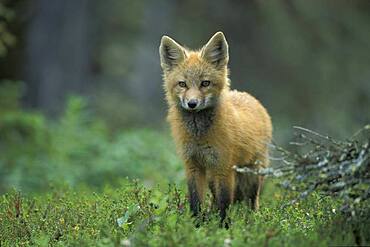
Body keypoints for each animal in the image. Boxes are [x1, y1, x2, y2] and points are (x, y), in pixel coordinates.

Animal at [159, 31, 272, 222]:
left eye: (205, 83)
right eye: (182, 84)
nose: (192, 104)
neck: (198, 136)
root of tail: (251, 98)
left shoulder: (223, 167)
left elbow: (225, 203)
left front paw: (223, 227)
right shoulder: (193, 166)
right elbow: (196, 202)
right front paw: (196, 225)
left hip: (251, 174)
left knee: (252, 201)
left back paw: (252, 221)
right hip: (213, 177)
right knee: (214, 200)